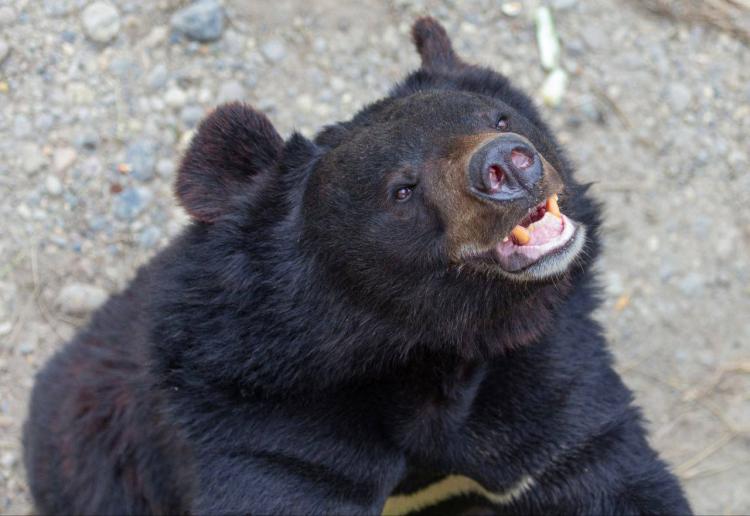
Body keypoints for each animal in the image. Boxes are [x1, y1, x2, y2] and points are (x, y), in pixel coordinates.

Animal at [23, 18, 692, 512]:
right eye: (402, 190)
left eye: (500, 118)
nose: (509, 164)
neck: (425, 345)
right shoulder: (261, 414)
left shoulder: (539, 373)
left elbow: (598, 463)